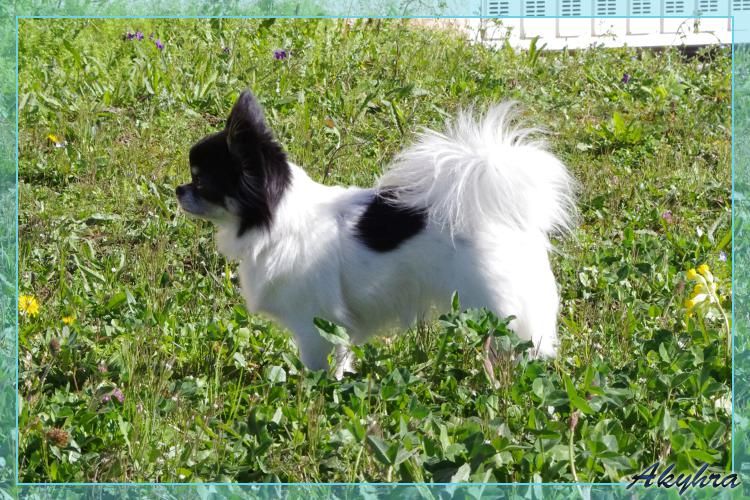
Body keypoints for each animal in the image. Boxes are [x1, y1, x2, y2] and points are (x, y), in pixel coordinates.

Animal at [176, 90, 575, 377]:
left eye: (201, 182)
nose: (179, 190)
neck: (274, 218)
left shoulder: (314, 325)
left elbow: (321, 366)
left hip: (498, 309)